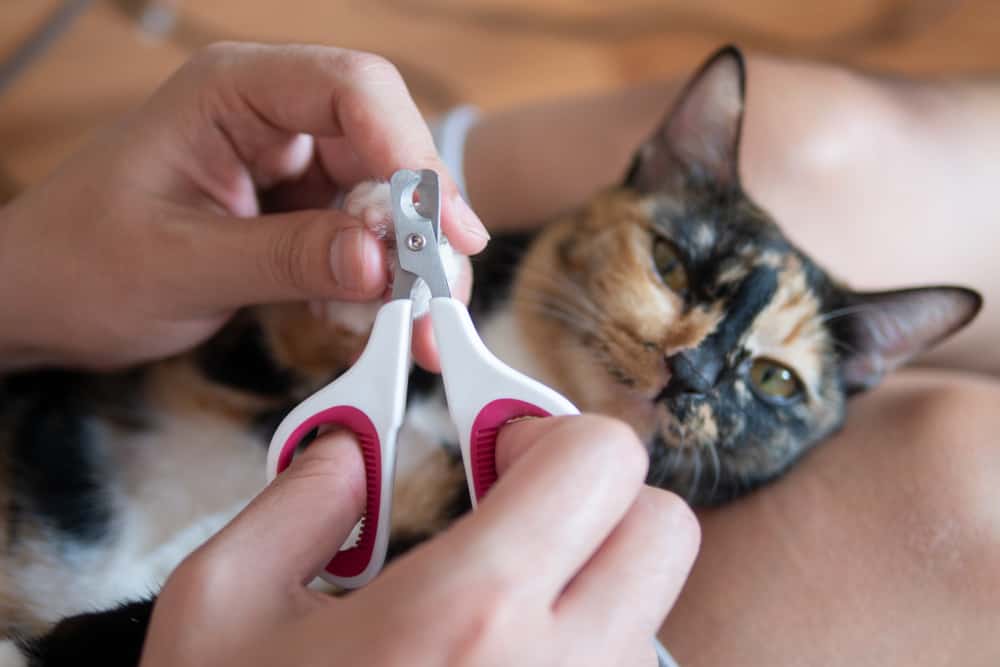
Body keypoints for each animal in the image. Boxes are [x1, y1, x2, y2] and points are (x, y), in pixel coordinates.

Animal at [1, 44, 984, 664]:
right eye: (672, 261)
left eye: (776, 380)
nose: (694, 373)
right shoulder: (217, 355)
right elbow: (285, 332)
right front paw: (367, 221)